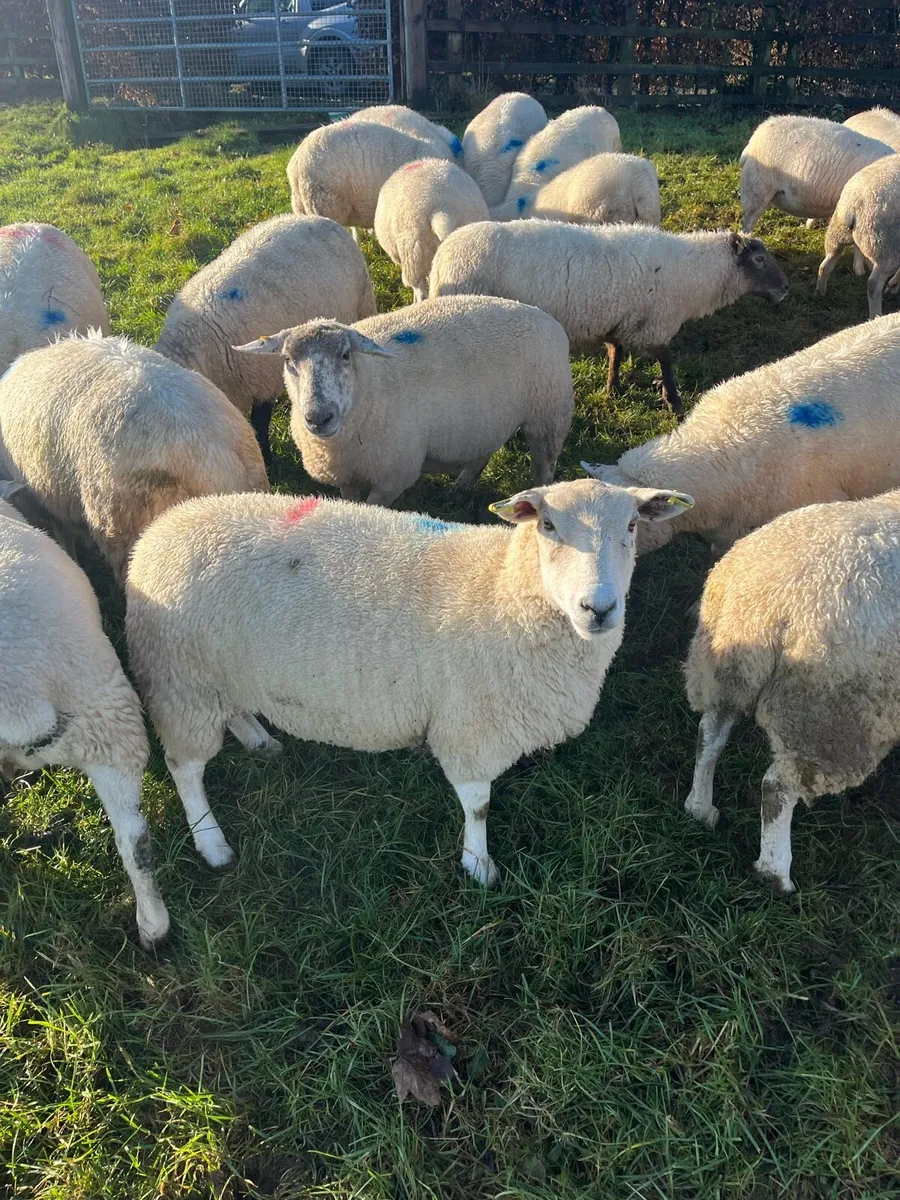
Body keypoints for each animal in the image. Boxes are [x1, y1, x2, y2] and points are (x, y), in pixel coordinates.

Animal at [125, 480, 693, 881]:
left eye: (633, 526)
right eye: (548, 526)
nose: (598, 608)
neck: (502, 587)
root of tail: (157, 534)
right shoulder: (469, 725)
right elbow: (478, 806)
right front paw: (478, 867)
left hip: (219, 670)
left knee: (235, 710)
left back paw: (260, 740)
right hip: (181, 678)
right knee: (184, 769)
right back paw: (212, 843)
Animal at [234, 295, 574, 504]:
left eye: (345, 355)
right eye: (288, 361)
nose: (319, 417)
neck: (370, 385)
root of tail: (545, 316)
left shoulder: (392, 476)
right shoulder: (346, 474)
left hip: (548, 416)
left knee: (545, 466)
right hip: (487, 419)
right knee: (482, 452)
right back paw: (461, 487)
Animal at [430, 221, 787, 414]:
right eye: (759, 259)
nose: (785, 289)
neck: (694, 273)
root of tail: (441, 259)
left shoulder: (620, 320)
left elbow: (615, 352)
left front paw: (612, 388)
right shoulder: (654, 324)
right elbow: (666, 359)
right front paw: (672, 398)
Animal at [683, 489, 900, 894]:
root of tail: (761, 609)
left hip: (721, 674)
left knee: (709, 736)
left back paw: (701, 809)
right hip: (828, 715)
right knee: (777, 786)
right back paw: (776, 874)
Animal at [816, 155, 900, 319]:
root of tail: (853, 206)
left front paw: (894, 285)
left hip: (837, 233)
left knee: (825, 265)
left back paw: (820, 292)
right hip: (887, 247)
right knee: (873, 285)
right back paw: (875, 316)